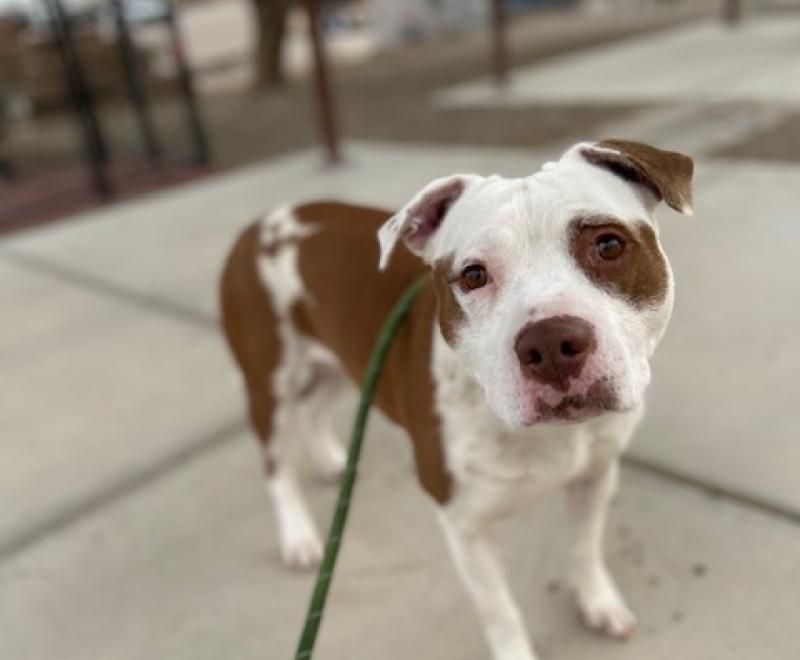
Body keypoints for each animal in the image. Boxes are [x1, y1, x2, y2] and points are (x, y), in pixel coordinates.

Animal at [220, 141, 692, 660]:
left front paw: (597, 602)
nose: (549, 344)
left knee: (312, 405)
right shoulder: (465, 527)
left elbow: (584, 550)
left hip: (347, 362)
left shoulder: (594, 477)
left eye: (609, 245)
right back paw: (299, 536)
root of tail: (260, 224)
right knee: (275, 461)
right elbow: (500, 611)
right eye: (473, 275)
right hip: (268, 381)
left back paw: (329, 461)